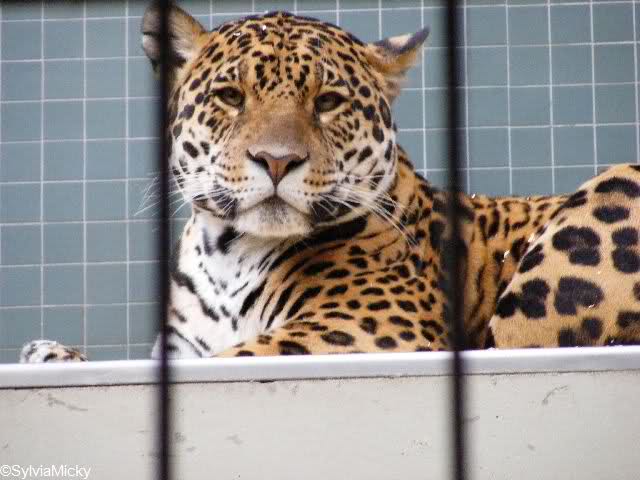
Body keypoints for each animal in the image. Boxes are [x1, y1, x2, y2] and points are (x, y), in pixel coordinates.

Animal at [21, 4, 640, 362]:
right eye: (231, 96)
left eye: (327, 102)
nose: (276, 161)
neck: (226, 257)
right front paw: (53, 354)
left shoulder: (370, 330)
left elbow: (243, 356)